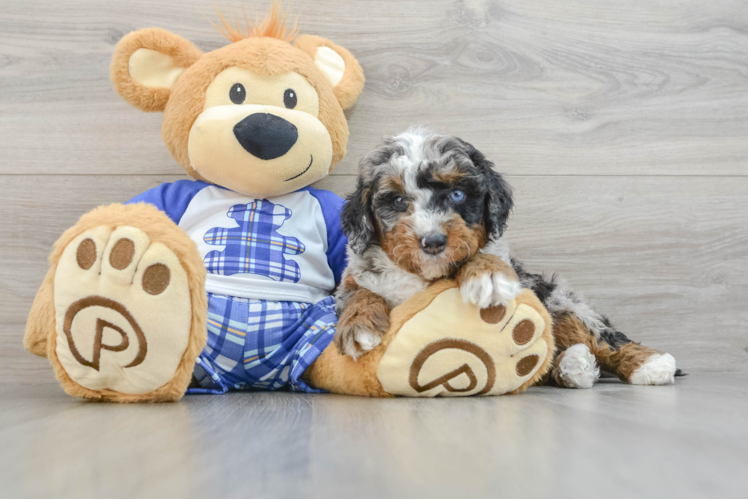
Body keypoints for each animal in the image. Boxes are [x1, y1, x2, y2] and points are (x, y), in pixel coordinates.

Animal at [336, 127, 680, 388]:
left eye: (458, 194)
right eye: (396, 200)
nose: (432, 241)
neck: (425, 276)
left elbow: (483, 255)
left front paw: (487, 276)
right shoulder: (357, 274)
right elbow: (358, 290)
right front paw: (359, 325)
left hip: (559, 298)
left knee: (600, 335)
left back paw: (648, 364)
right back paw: (574, 364)